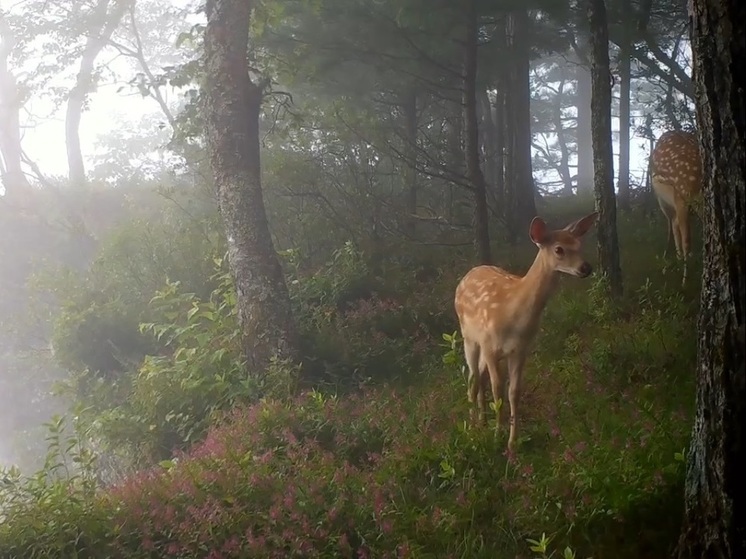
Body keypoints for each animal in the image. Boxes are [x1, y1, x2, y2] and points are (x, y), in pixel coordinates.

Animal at [450, 212, 596, 452]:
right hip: (469, 337)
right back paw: (472, 429)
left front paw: (512, 442)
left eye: (579, 244)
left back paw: (481, 422)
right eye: (559, 249)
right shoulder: (490, 346)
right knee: (473, 380)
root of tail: (466, 275)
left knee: (479, 377)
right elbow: (498, 389)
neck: (514, 315)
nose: (586, 268)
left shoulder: (521, 349)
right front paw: (496, 436)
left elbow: (514, 392)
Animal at [648, 128, 700, 284]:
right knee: (671, 223)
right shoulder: (681, 198)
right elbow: (687, 241)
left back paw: (676, 261)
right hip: (663, 198)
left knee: (675, 223)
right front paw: (685, 282)